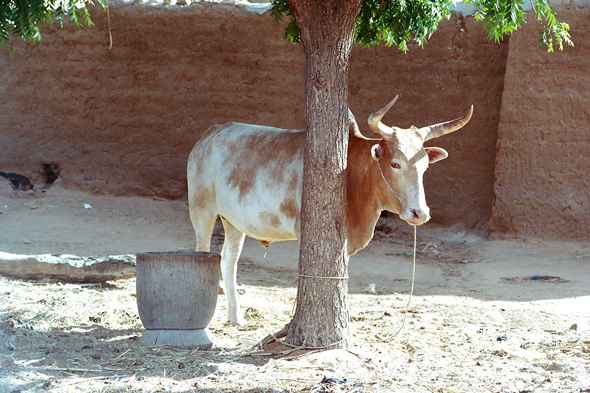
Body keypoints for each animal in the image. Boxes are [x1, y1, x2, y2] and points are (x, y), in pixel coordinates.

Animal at [190, 96, 476, 324]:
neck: (352, 173)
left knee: (228, 261)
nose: (420, 213)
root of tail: (210, 133)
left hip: (234, 223)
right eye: (395, 163)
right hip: (202, 212)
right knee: (203, 255)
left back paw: (236, 318)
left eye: (426, 165)